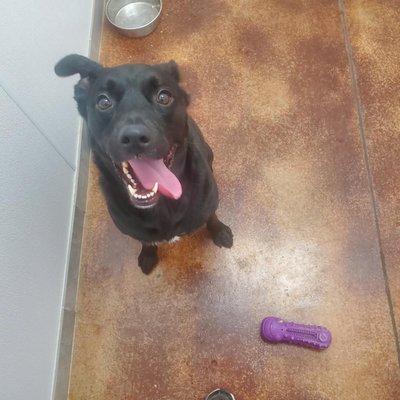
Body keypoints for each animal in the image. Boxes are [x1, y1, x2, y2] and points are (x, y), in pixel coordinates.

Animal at [54, 55, 233, 276]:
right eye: (104, 101)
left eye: (163, 97)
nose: (134, 137)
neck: (163, 206)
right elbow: (146, 242)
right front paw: (148, 255)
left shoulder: (207, 205)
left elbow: (212, 217)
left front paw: (220, 231)